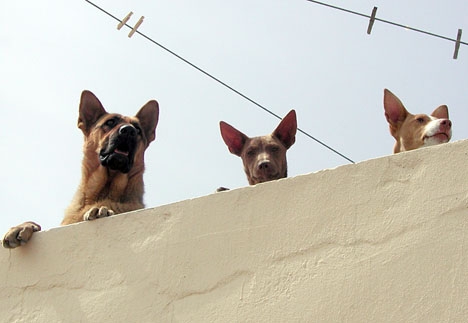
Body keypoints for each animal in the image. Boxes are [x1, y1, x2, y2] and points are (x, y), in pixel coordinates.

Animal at [1, 91, 160, 251]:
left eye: (138, 129)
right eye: (110, 122)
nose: (129, 130)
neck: (105, 190)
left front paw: (101, 210)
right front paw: (23, 226)